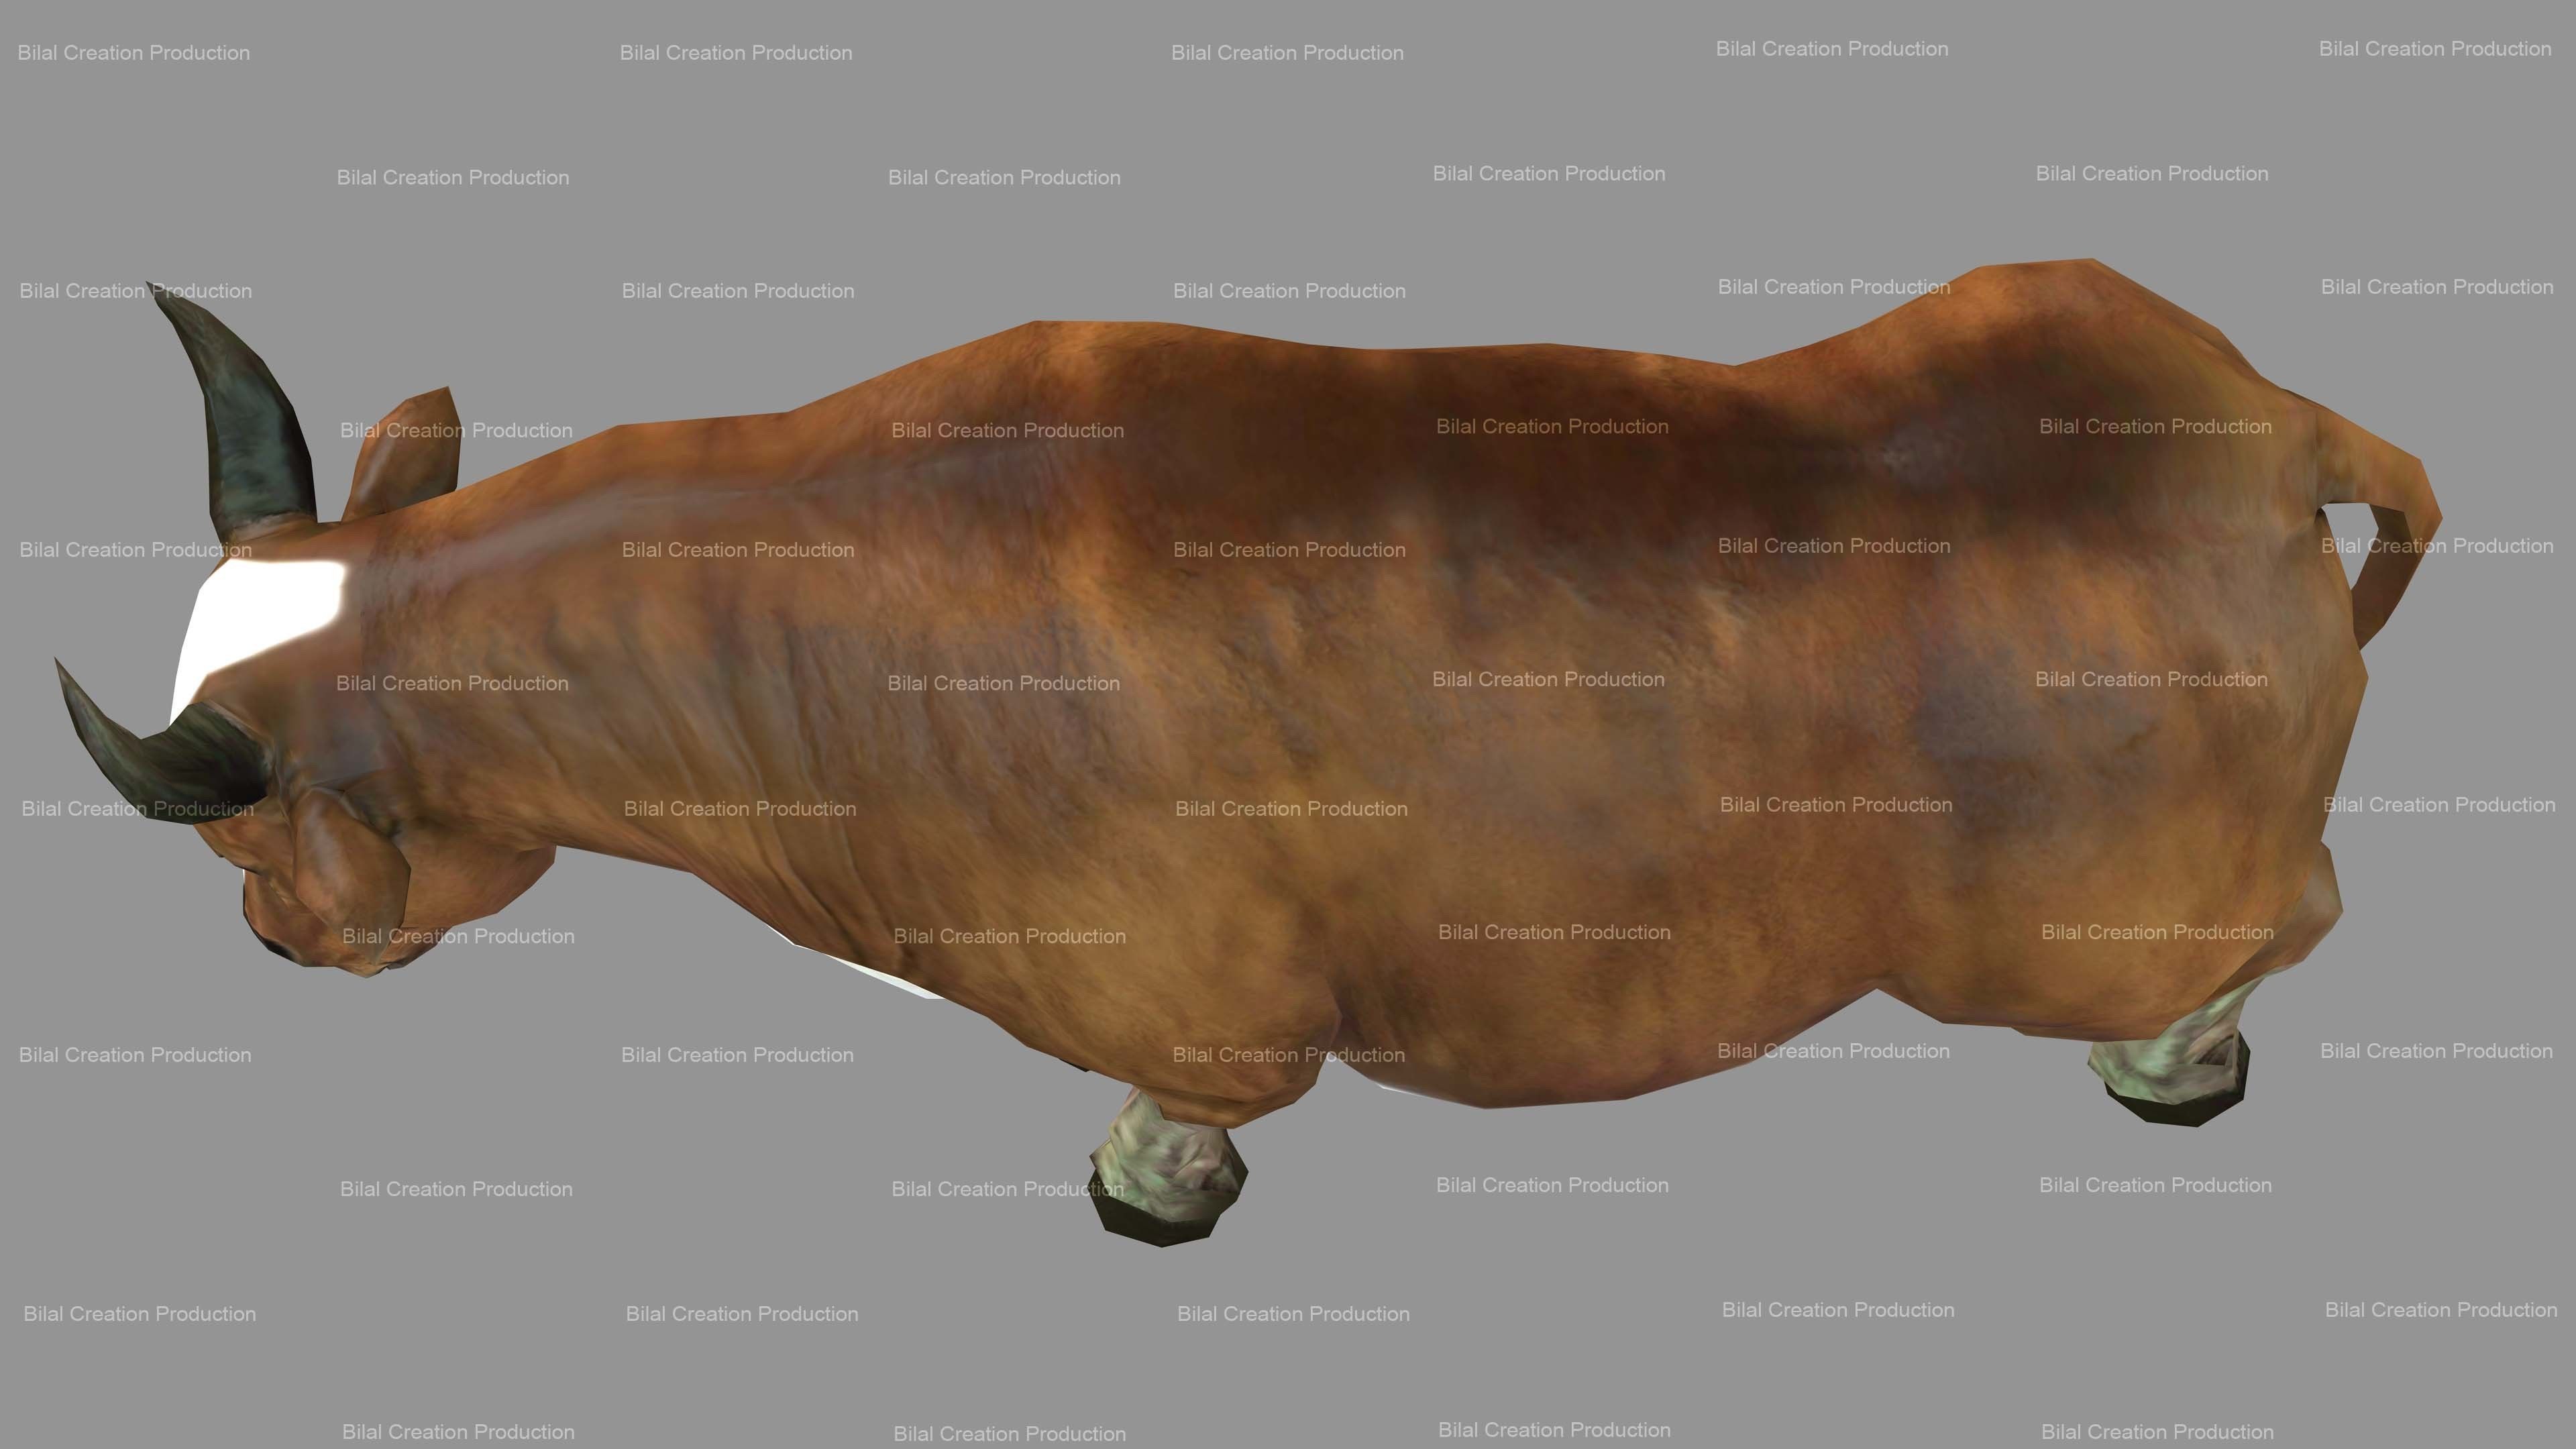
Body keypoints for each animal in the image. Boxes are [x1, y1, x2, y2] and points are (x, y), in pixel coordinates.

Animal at [59, 262, 2437, 1244]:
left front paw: (1149, 1194)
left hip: (2100, 914)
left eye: (253, 840)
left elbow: (1180, 1120)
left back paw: (2176, 1065)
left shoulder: (1182, 999)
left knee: (2284, 926)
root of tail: (2271, 422)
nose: (281, 941)